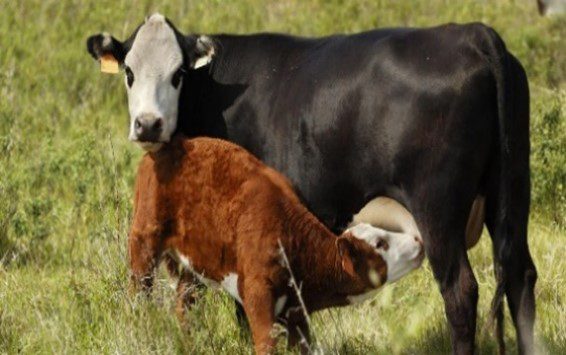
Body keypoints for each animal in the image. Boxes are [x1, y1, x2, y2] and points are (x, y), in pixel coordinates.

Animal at [131, 135, 424, 354]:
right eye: (380, 242)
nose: (418, 243)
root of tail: (175, 143)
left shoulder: (297, 314)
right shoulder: (257, 293)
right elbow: (266, 343)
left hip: (194, 265)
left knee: (185, 300)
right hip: (144, 236)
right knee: (140, 290)